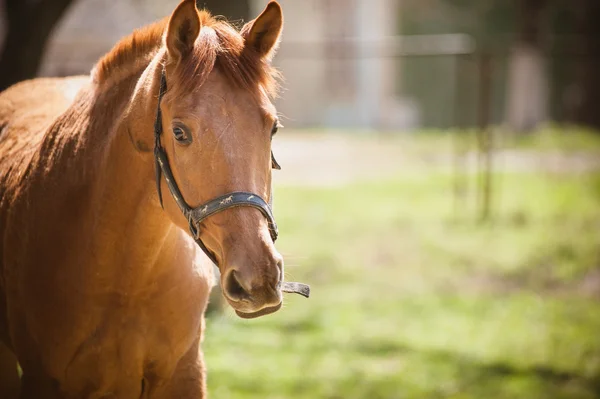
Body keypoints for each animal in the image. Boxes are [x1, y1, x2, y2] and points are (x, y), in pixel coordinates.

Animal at [0, 1, 288, 398]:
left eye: (272, 127)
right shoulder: (41, 377)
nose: (258, 278)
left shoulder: (184, 375)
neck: (123, 279)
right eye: (179, 132)